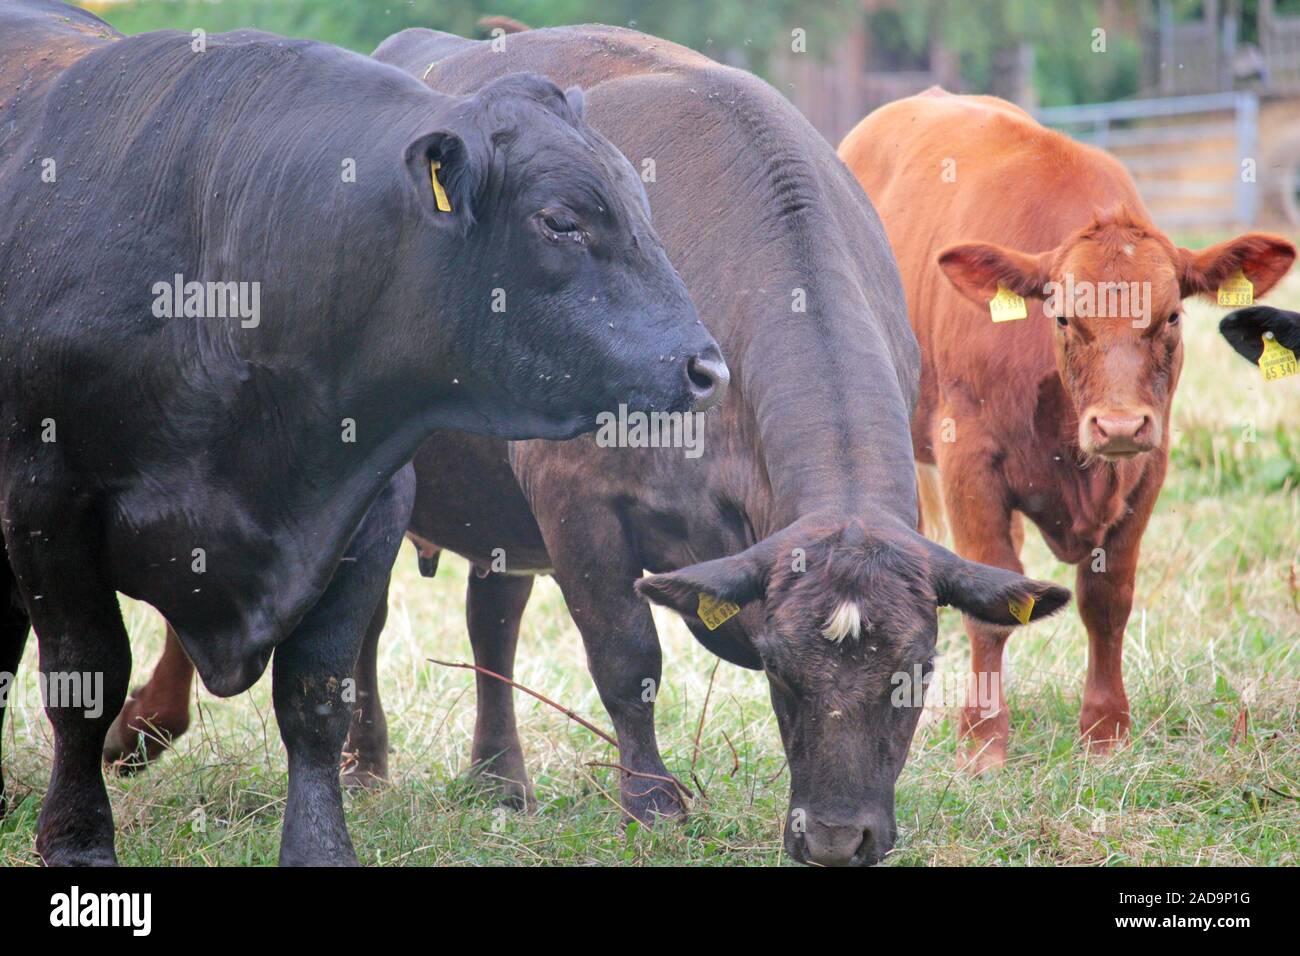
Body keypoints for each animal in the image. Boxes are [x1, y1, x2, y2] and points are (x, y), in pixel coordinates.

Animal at [0, 1, 726, 866]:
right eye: (560, 221)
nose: (707, 368)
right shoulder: (47, 503)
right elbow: (85, 678)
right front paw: (77, 838)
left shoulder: (368, 506)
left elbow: (316, 693)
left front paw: (320, 846)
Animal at [112, 24, 1071, 867]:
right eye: (782, 674)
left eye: (918, 673)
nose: (839, 839)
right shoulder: (577, 502)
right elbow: (626, 655)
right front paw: (650, 803)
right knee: (359, 618)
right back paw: (342, 761)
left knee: (488, 620)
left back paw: (498, 779)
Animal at [836, 89, 1296, 770]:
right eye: (1062, 316)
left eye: (1172, 316)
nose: (1118, 424)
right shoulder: (968, 461)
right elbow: (991, 603)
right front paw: (982, 740)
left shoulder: (1149, 467)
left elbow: (1107, 600)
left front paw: (1105, 730)